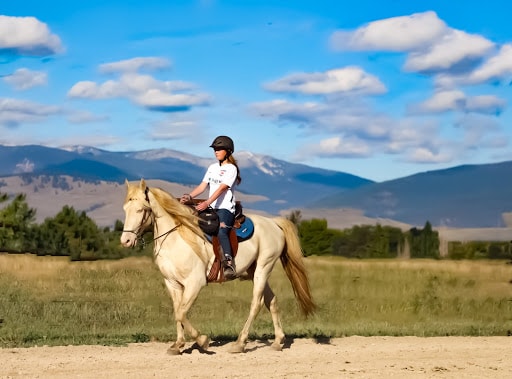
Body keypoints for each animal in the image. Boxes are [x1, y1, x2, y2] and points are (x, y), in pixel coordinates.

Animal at [120, 180, 316, 354]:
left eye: (141, 209)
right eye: (125, 209)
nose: (126, 241)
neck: (176, 238)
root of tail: (273, 223)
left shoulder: (195, 283)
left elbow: (181, 313)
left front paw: (202, 340)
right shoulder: (172, 283)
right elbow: (177, 312)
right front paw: (178, 345)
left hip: (263, 267)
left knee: (256, 303)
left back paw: (240, 343)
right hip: (255, 271)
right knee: (272, 301)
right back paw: (277, 341)